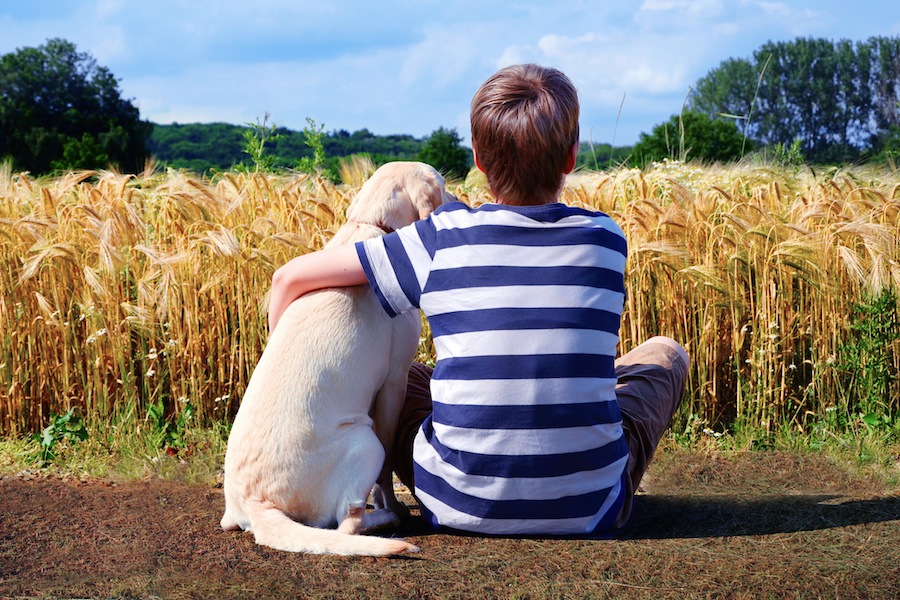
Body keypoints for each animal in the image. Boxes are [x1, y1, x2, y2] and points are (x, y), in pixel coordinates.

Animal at [222, 162, 454, 556]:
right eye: (440, 182)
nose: (459, 199)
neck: (371, 225)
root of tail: (256, 504)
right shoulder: (394, 381)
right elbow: (386, 468)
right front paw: (391, 504)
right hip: (364, 439)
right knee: (349, 522)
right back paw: (386, 520)